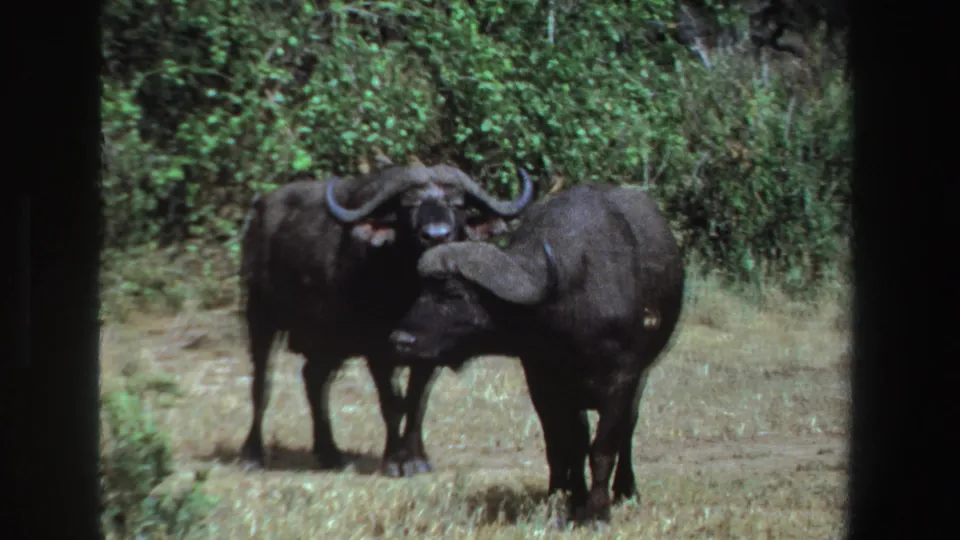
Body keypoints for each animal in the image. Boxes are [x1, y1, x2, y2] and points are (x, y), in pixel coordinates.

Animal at [238, 161, 535, 477]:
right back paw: (253, 454)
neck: (408, 289)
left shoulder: (429, 350)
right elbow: (392, 403)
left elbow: (417, 403)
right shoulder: (377, 349)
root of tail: (259, 211)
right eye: (410, 205)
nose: (437, 235)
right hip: (260, 317)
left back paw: (330, 453)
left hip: (329, 341)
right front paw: (394, 460)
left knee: (314, 379)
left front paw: (416, 459)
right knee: (262, 384)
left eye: (456, 204)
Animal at [389, 184, 685, 522]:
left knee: (628, 429)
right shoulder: (543, 383)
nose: (401, 340)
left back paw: (626, 490)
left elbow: (603, 448)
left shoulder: (622, 380)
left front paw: (597, 512)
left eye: (454, 293)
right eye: (422, 290)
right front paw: (569, 501)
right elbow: (564, 446)